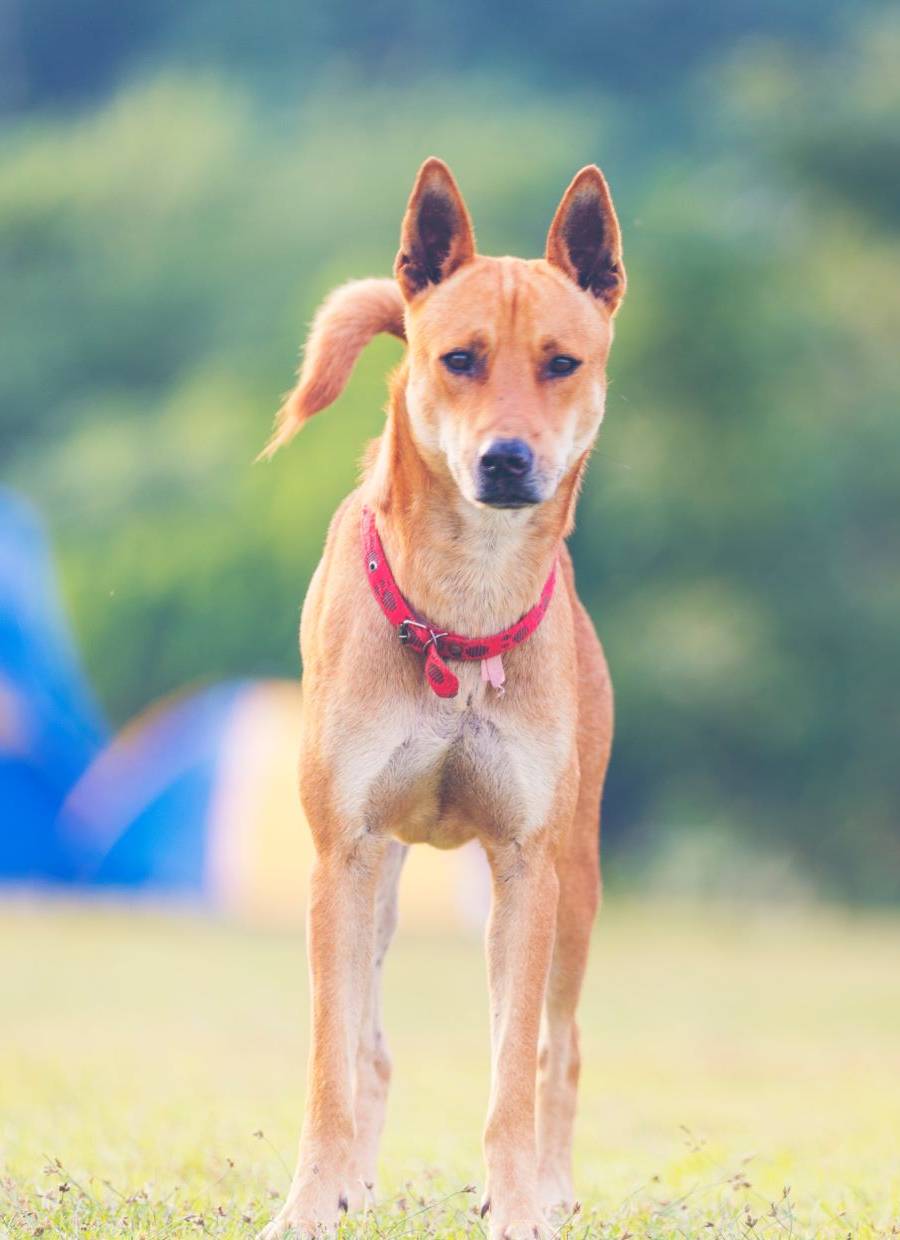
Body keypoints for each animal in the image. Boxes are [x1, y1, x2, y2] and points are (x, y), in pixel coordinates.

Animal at [262, 159, 627, 1235]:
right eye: (458, 358)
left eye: (561, 362)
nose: (506, 459)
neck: (461, 621)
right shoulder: (341, 854)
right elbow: (332, 1060)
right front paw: (313, 1199)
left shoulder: (528, 863)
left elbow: (514, 1070)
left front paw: (517, 1206)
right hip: (382, 880)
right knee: (369, 1049)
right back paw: (356, 1183)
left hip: (578, 878)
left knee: (557, 1047)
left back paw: (553, 1188)